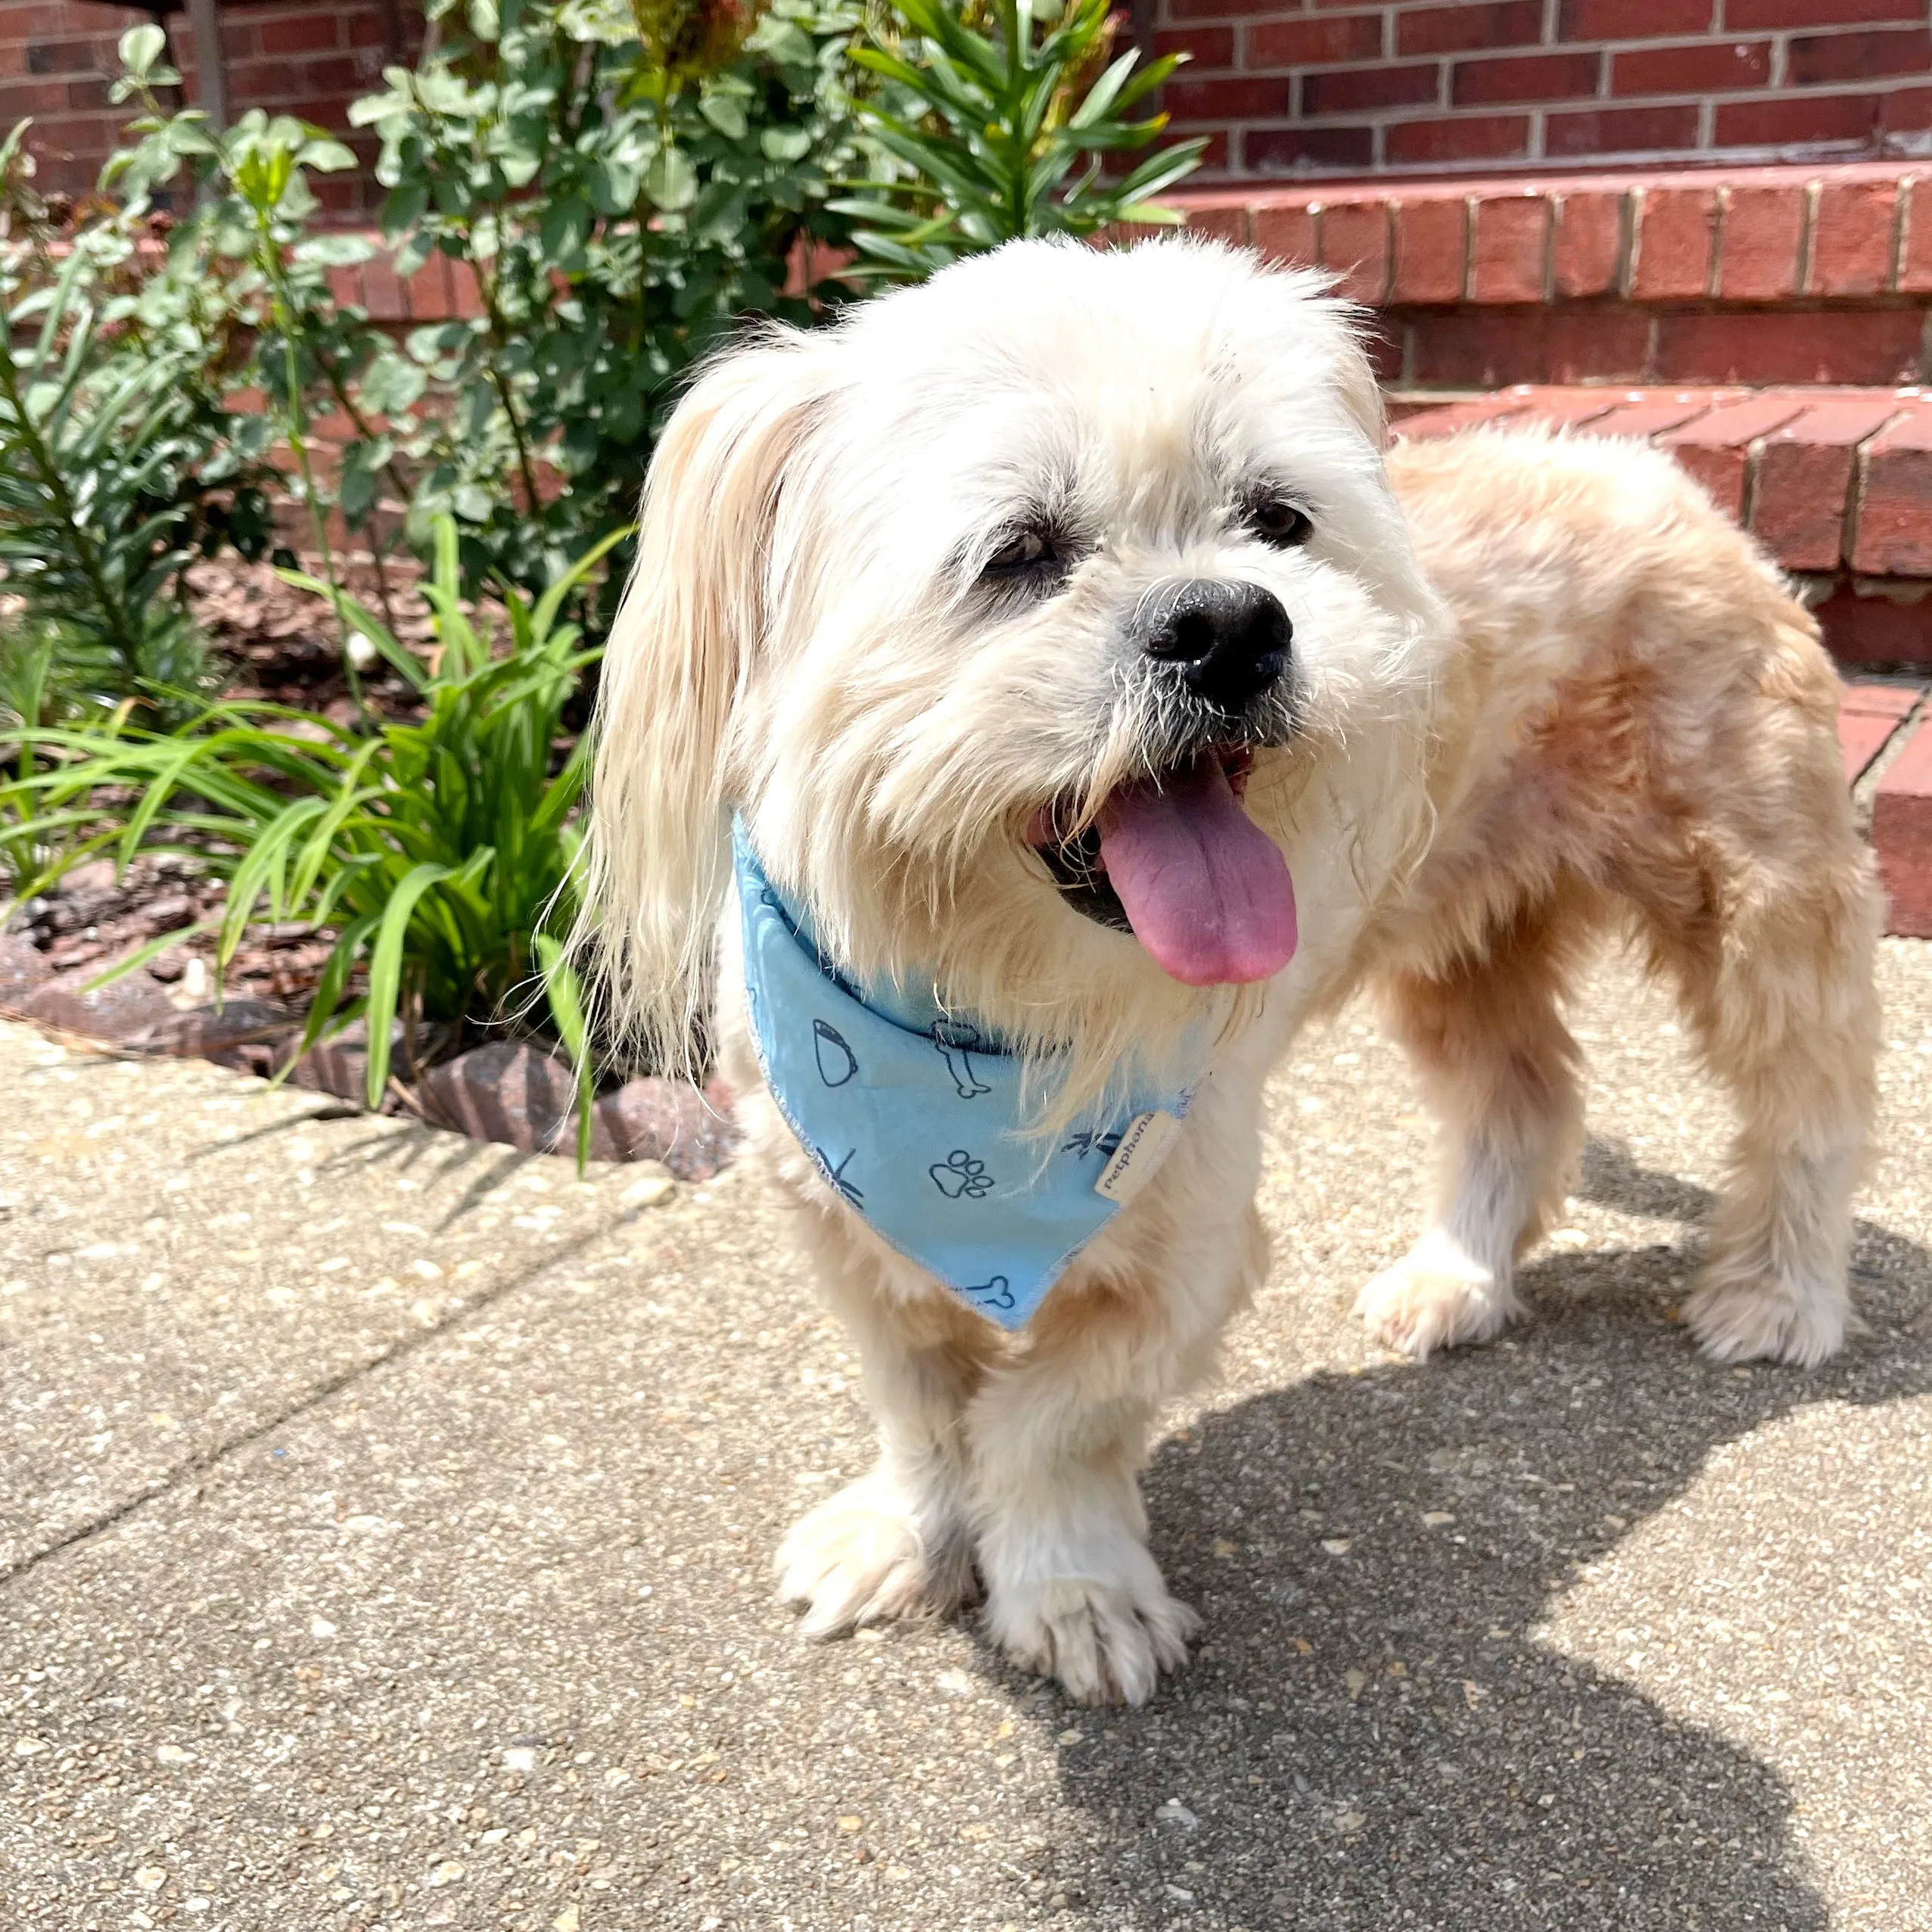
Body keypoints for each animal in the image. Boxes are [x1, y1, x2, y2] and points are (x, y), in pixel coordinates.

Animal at [579, 233, 1878, 1700]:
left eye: (1277, 521)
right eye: (1018, 552)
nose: (1229, 623)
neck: (990, 1020)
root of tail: (1643, 470)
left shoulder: (1187, 1229)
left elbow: (1048, 1420)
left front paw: (1071, 1589)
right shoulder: (840, 1214)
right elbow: (917, 1400)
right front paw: (905, 1535)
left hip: (1755, 890)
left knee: (1808, 1100)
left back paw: (1777, 1290)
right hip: (1464, 936)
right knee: (1523, 1096)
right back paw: (1458, 1275)